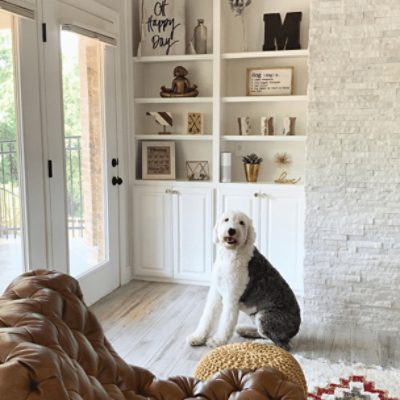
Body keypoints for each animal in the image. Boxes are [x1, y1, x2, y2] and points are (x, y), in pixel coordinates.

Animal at [188, 211, 300, 348]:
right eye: (226, 219)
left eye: (242, 222)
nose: (231, 230)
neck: (230, 254)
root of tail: (297, 327)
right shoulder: (215, 293)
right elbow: (207, 317)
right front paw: (197, 337)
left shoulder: (231, 298)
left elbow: (226, 323)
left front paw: (217, 341)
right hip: (255, 316)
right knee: (264, 334)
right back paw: (245, 330)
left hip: (265, 316)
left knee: (282, 345)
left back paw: (260, 343)